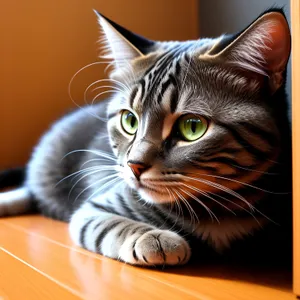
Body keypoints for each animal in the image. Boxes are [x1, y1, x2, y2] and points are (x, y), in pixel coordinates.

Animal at [0, 7, 290, 268]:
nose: (134, 166)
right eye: (130, 121)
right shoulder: (94, 209)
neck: (219, 208)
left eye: (192, 127)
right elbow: (110, 224)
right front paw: (153, 237)